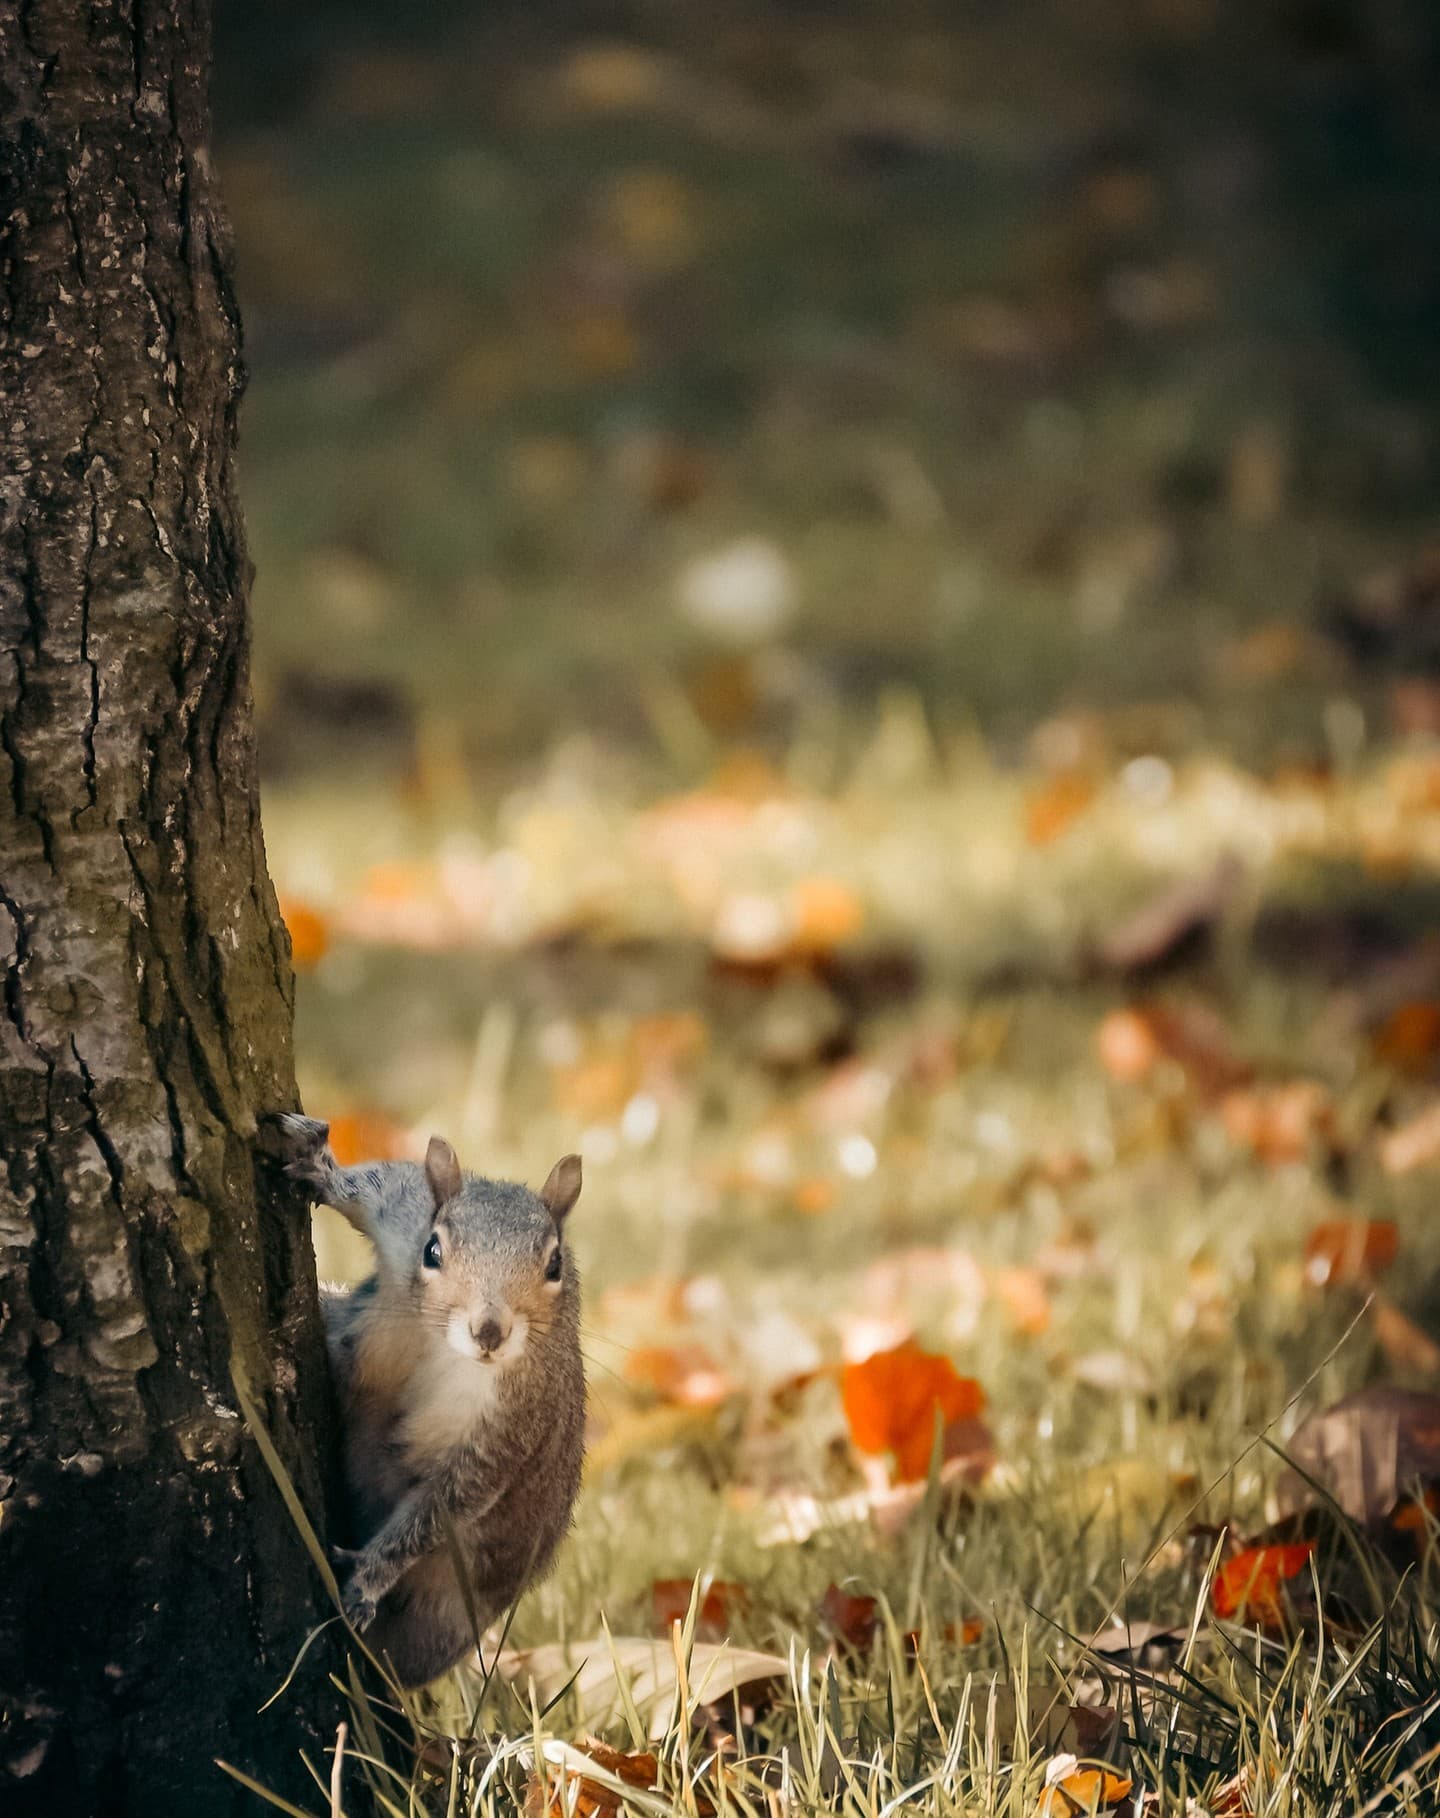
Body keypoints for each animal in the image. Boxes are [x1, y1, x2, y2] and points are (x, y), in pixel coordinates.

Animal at [274, 1113, 586, 1689]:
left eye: (555, 1265)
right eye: (433, 1251)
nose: (489, 1331)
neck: (438, 1341)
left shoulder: (508, 1425)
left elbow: (441, 1508)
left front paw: (368, 1578)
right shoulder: (404, 1216)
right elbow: (375, 1185)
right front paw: (318, 1165)